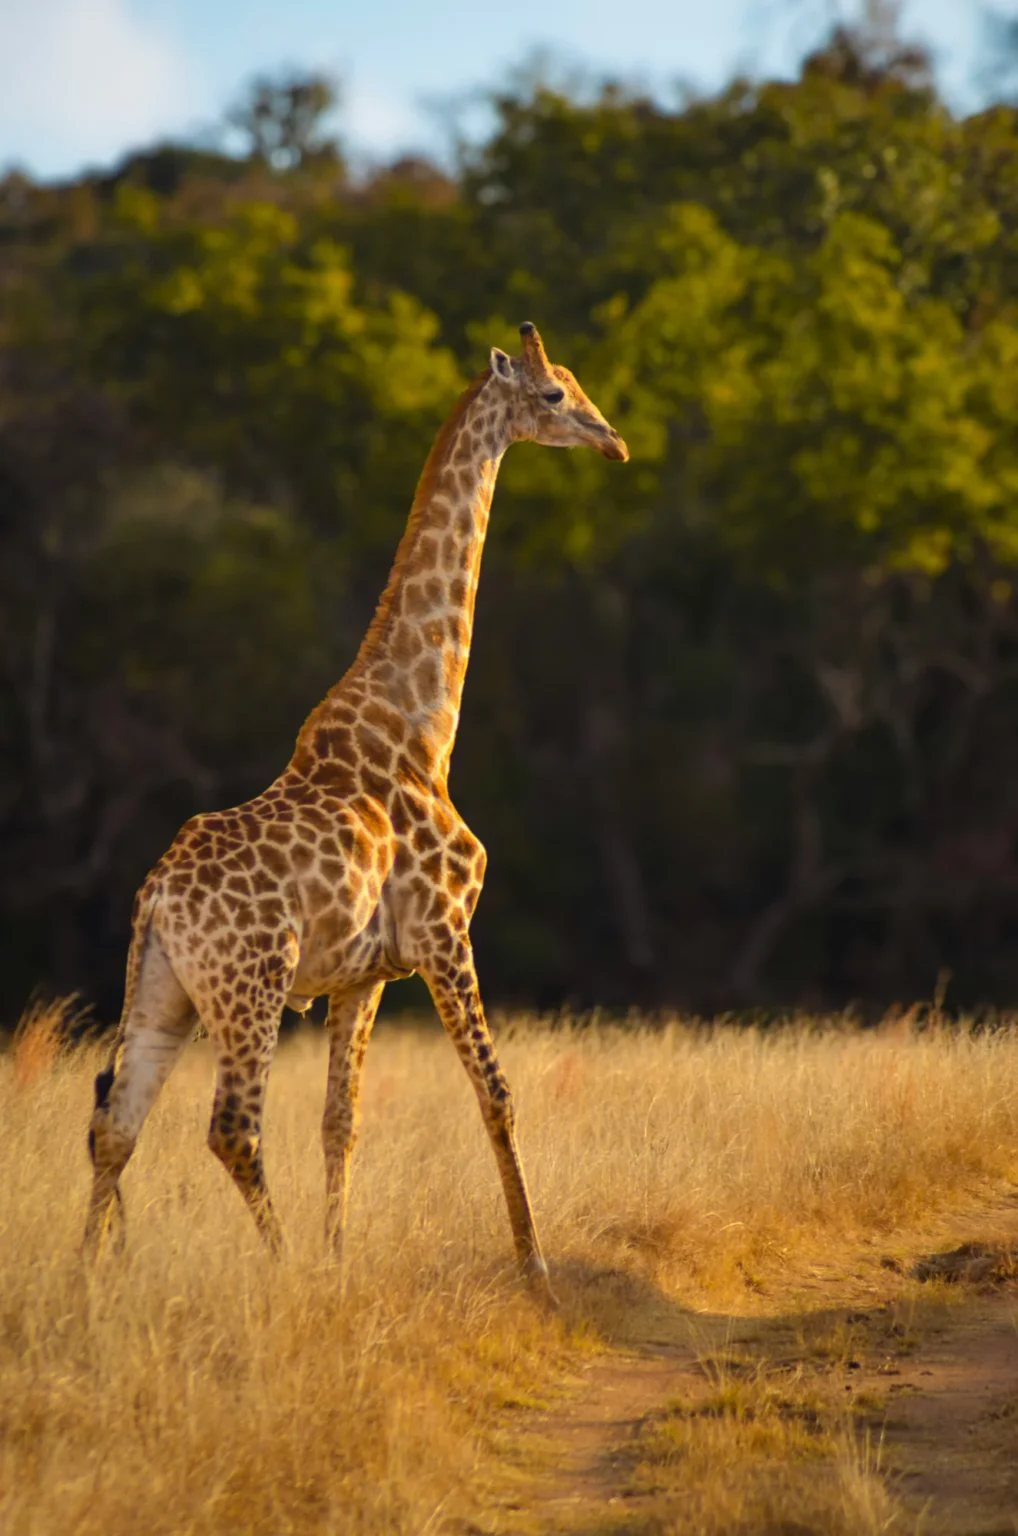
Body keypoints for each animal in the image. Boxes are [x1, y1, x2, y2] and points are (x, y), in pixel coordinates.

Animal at [82, 322, 628, 1300]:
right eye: (555, 395)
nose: (615, 441)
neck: (423, 723)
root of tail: (157, 901)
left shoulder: (365, 973)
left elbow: (343, 1119)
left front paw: (342, 1257)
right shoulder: (446, 932)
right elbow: (497, 1093)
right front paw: (535, 1268)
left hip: (162, 992)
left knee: (116, 1127)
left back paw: (84, 1283)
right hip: (252, 987)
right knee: (230, 1128)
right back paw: (281, 1270)